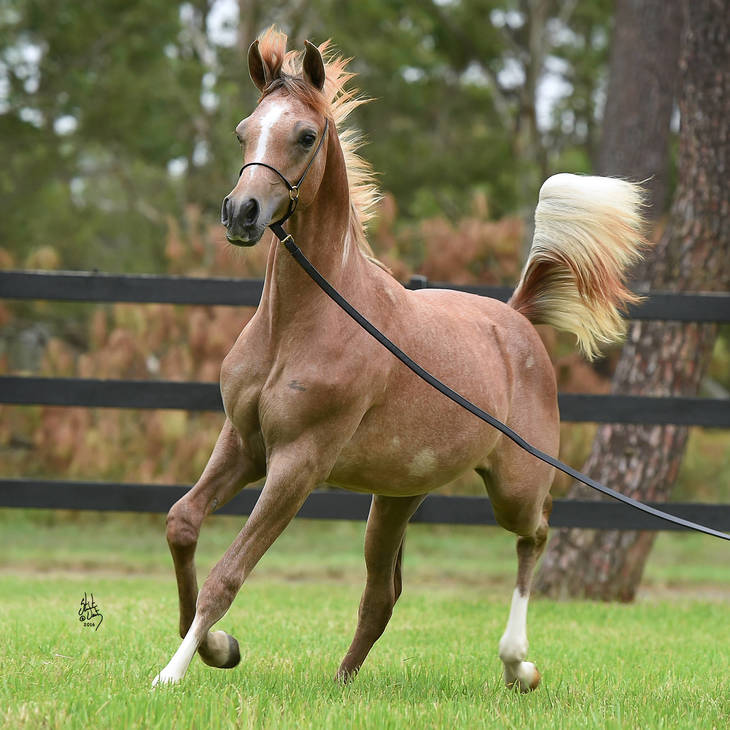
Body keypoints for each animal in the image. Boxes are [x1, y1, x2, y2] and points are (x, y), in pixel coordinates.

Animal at [153, 28, 646, 690]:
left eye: (304, 135)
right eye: (242, 130)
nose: (241, 213)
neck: (299, 326)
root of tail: (516, 317)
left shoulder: (298, 463)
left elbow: (227, 573)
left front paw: (174, 671)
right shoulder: (243, 443)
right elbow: (182, 522)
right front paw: (217, 647)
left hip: (514, 484)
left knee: (535, 534)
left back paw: (518, 663)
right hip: (395, 497)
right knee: (381, 595)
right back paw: (342, 682)